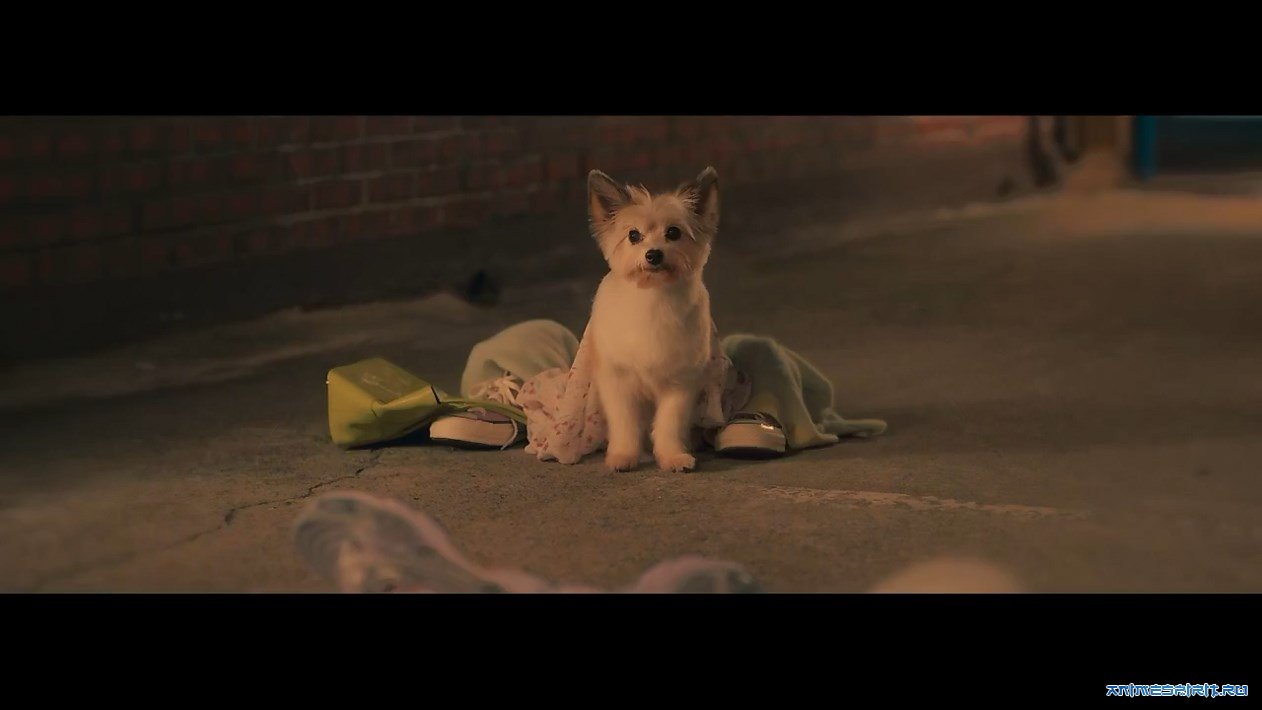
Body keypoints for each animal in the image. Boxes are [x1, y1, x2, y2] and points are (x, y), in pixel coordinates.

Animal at [586, 166, 720, 473]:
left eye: (673, 232)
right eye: (633, 235)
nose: (654, 254)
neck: (653, 298)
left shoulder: (679, 385)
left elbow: (669, 424)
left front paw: (672, 456)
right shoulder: (618, 383)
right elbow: (624, 423)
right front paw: (623, 455)